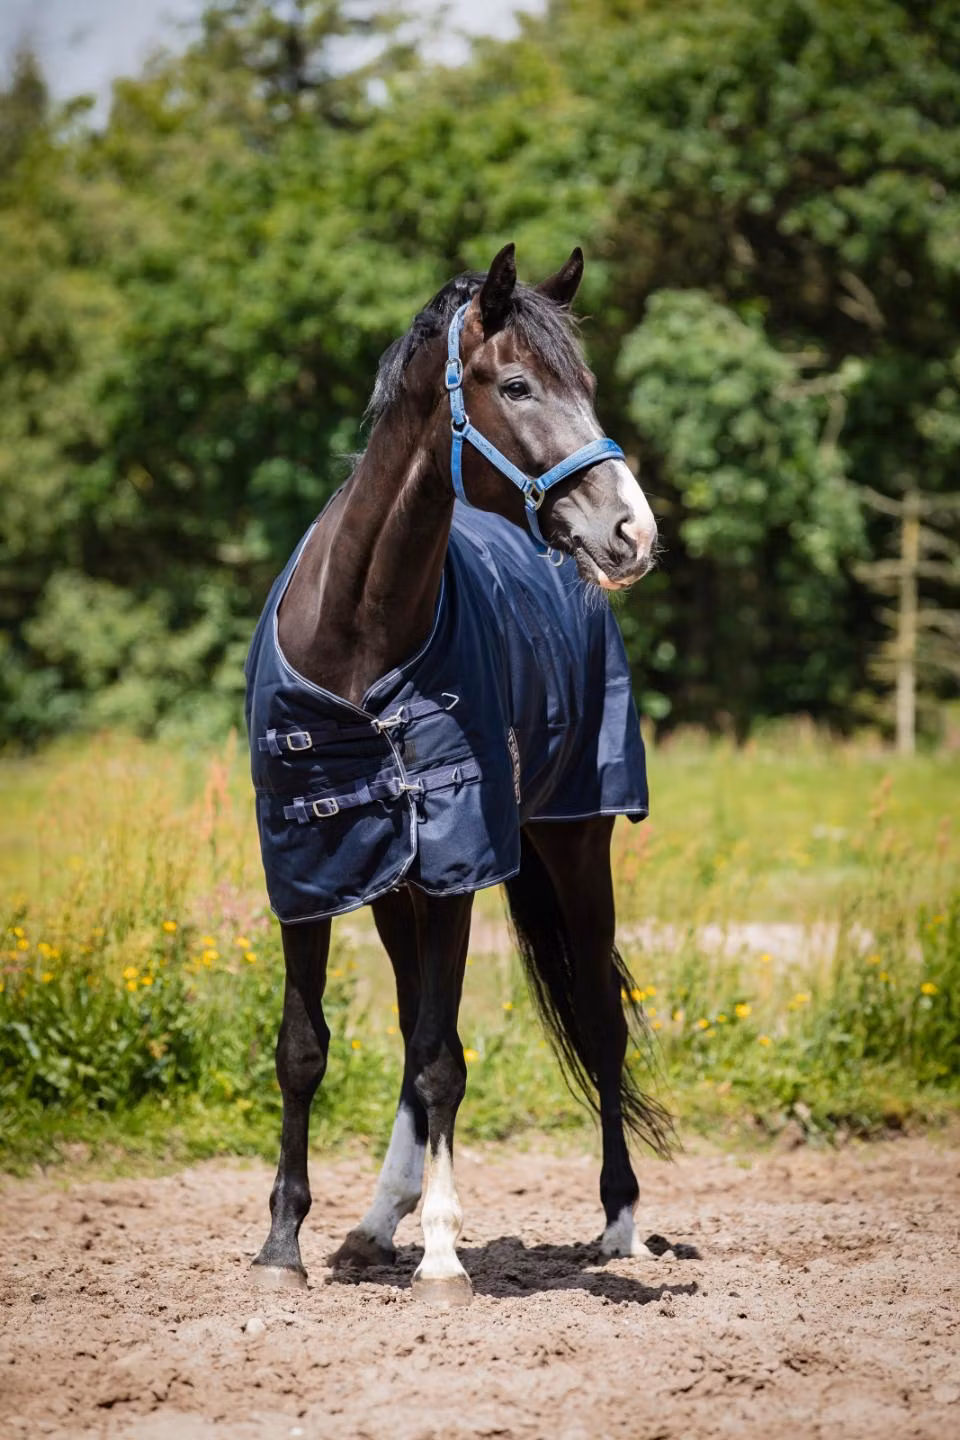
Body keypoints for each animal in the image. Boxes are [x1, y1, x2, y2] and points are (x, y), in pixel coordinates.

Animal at [244, 243, 673, 1306]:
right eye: (516, 385)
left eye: (588, 385)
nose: (633, 534)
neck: (359, 634)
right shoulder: (308, 868)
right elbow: (305, 1050)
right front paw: (283, 1245)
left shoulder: (456, 868)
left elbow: (445, 1061)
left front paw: (442, 1254)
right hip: (394, 891)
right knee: (411, 1032)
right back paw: (372, 1224)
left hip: (572, 846)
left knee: (597, 1024)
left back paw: (619, 1223)